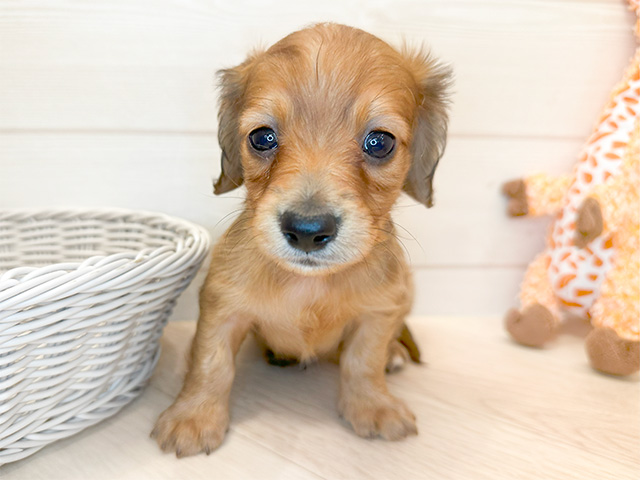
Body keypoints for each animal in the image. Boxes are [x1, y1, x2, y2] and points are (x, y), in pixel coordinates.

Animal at [152, 22, 448, 458]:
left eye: (380, 142)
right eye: (262, 137)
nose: (307, 230)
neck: (309, 286)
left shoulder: (379, 311)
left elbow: (364, 361)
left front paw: (374, 406)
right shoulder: (222, 307)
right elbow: (211, 364)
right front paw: (194, 417)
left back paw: (394, 355)